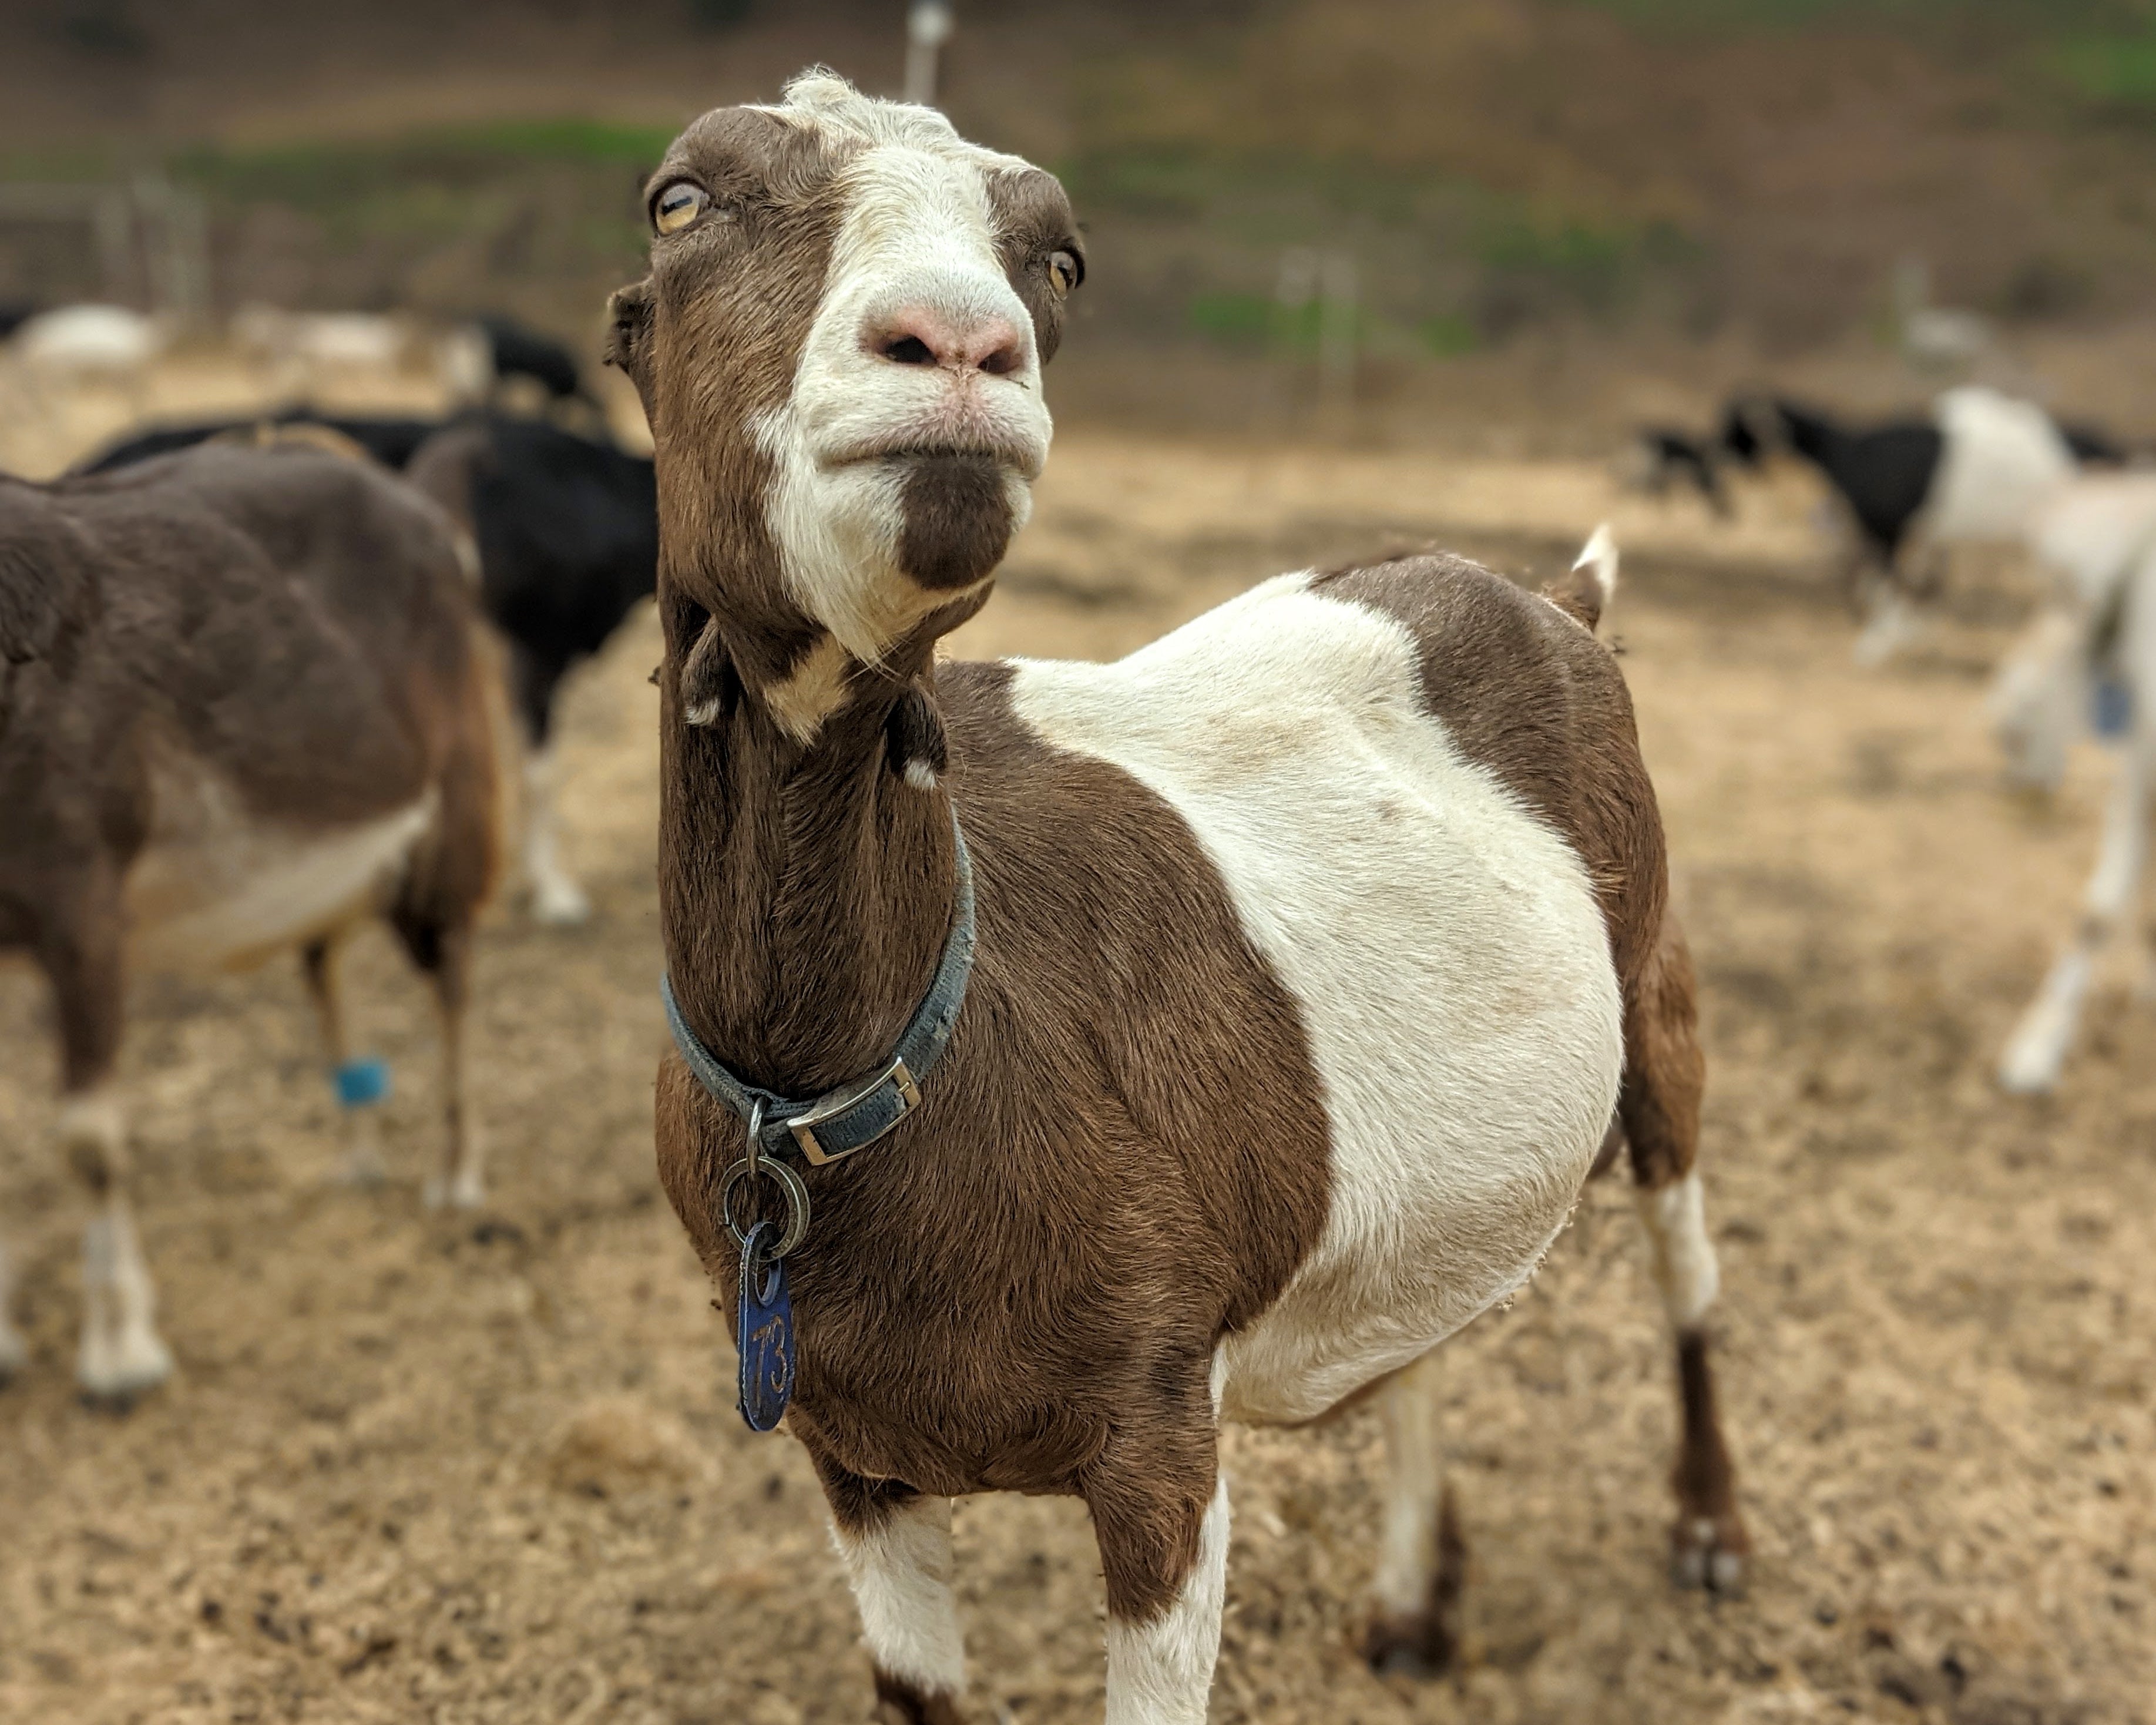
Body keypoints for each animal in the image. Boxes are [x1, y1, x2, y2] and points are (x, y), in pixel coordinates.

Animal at [0, 438, 501, 1402]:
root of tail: (425, 510)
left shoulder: (82, 907)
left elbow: (88, 1140)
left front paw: (122, 1354)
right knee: (323, 963)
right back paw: (357, 1158)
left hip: (452, 805)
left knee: (452, 968)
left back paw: (457, 1174)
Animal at [613, 73, 1745, 1724]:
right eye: (678, 201)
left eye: (1059, 260)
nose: (960, 346)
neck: (848, 1080)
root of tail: (1553, 597)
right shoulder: (847, 1447)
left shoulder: (1158, 1435)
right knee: (1428, 1329)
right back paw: (1412, 1598)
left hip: (1656, 984)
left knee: (1683, 1251)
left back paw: (1710, 1532)